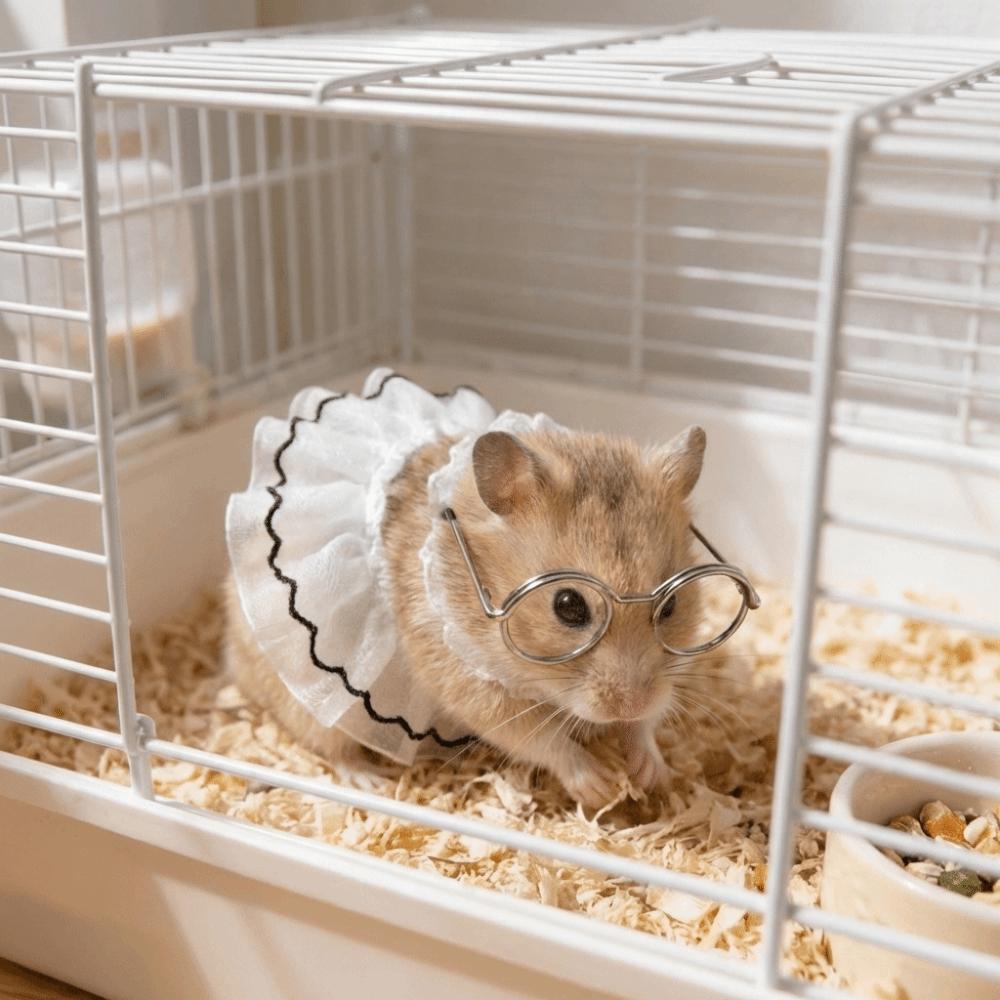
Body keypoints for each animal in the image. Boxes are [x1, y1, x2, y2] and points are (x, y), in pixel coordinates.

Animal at [223, 421, 707, 809]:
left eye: (671, 605)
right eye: (568, 606)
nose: (632, 702)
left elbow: (644, 728)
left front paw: (652, 773)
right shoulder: (473, 687)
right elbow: (542, 739)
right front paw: (600, 786)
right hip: (321, 705)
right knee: (333, 749)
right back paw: (373, 782)